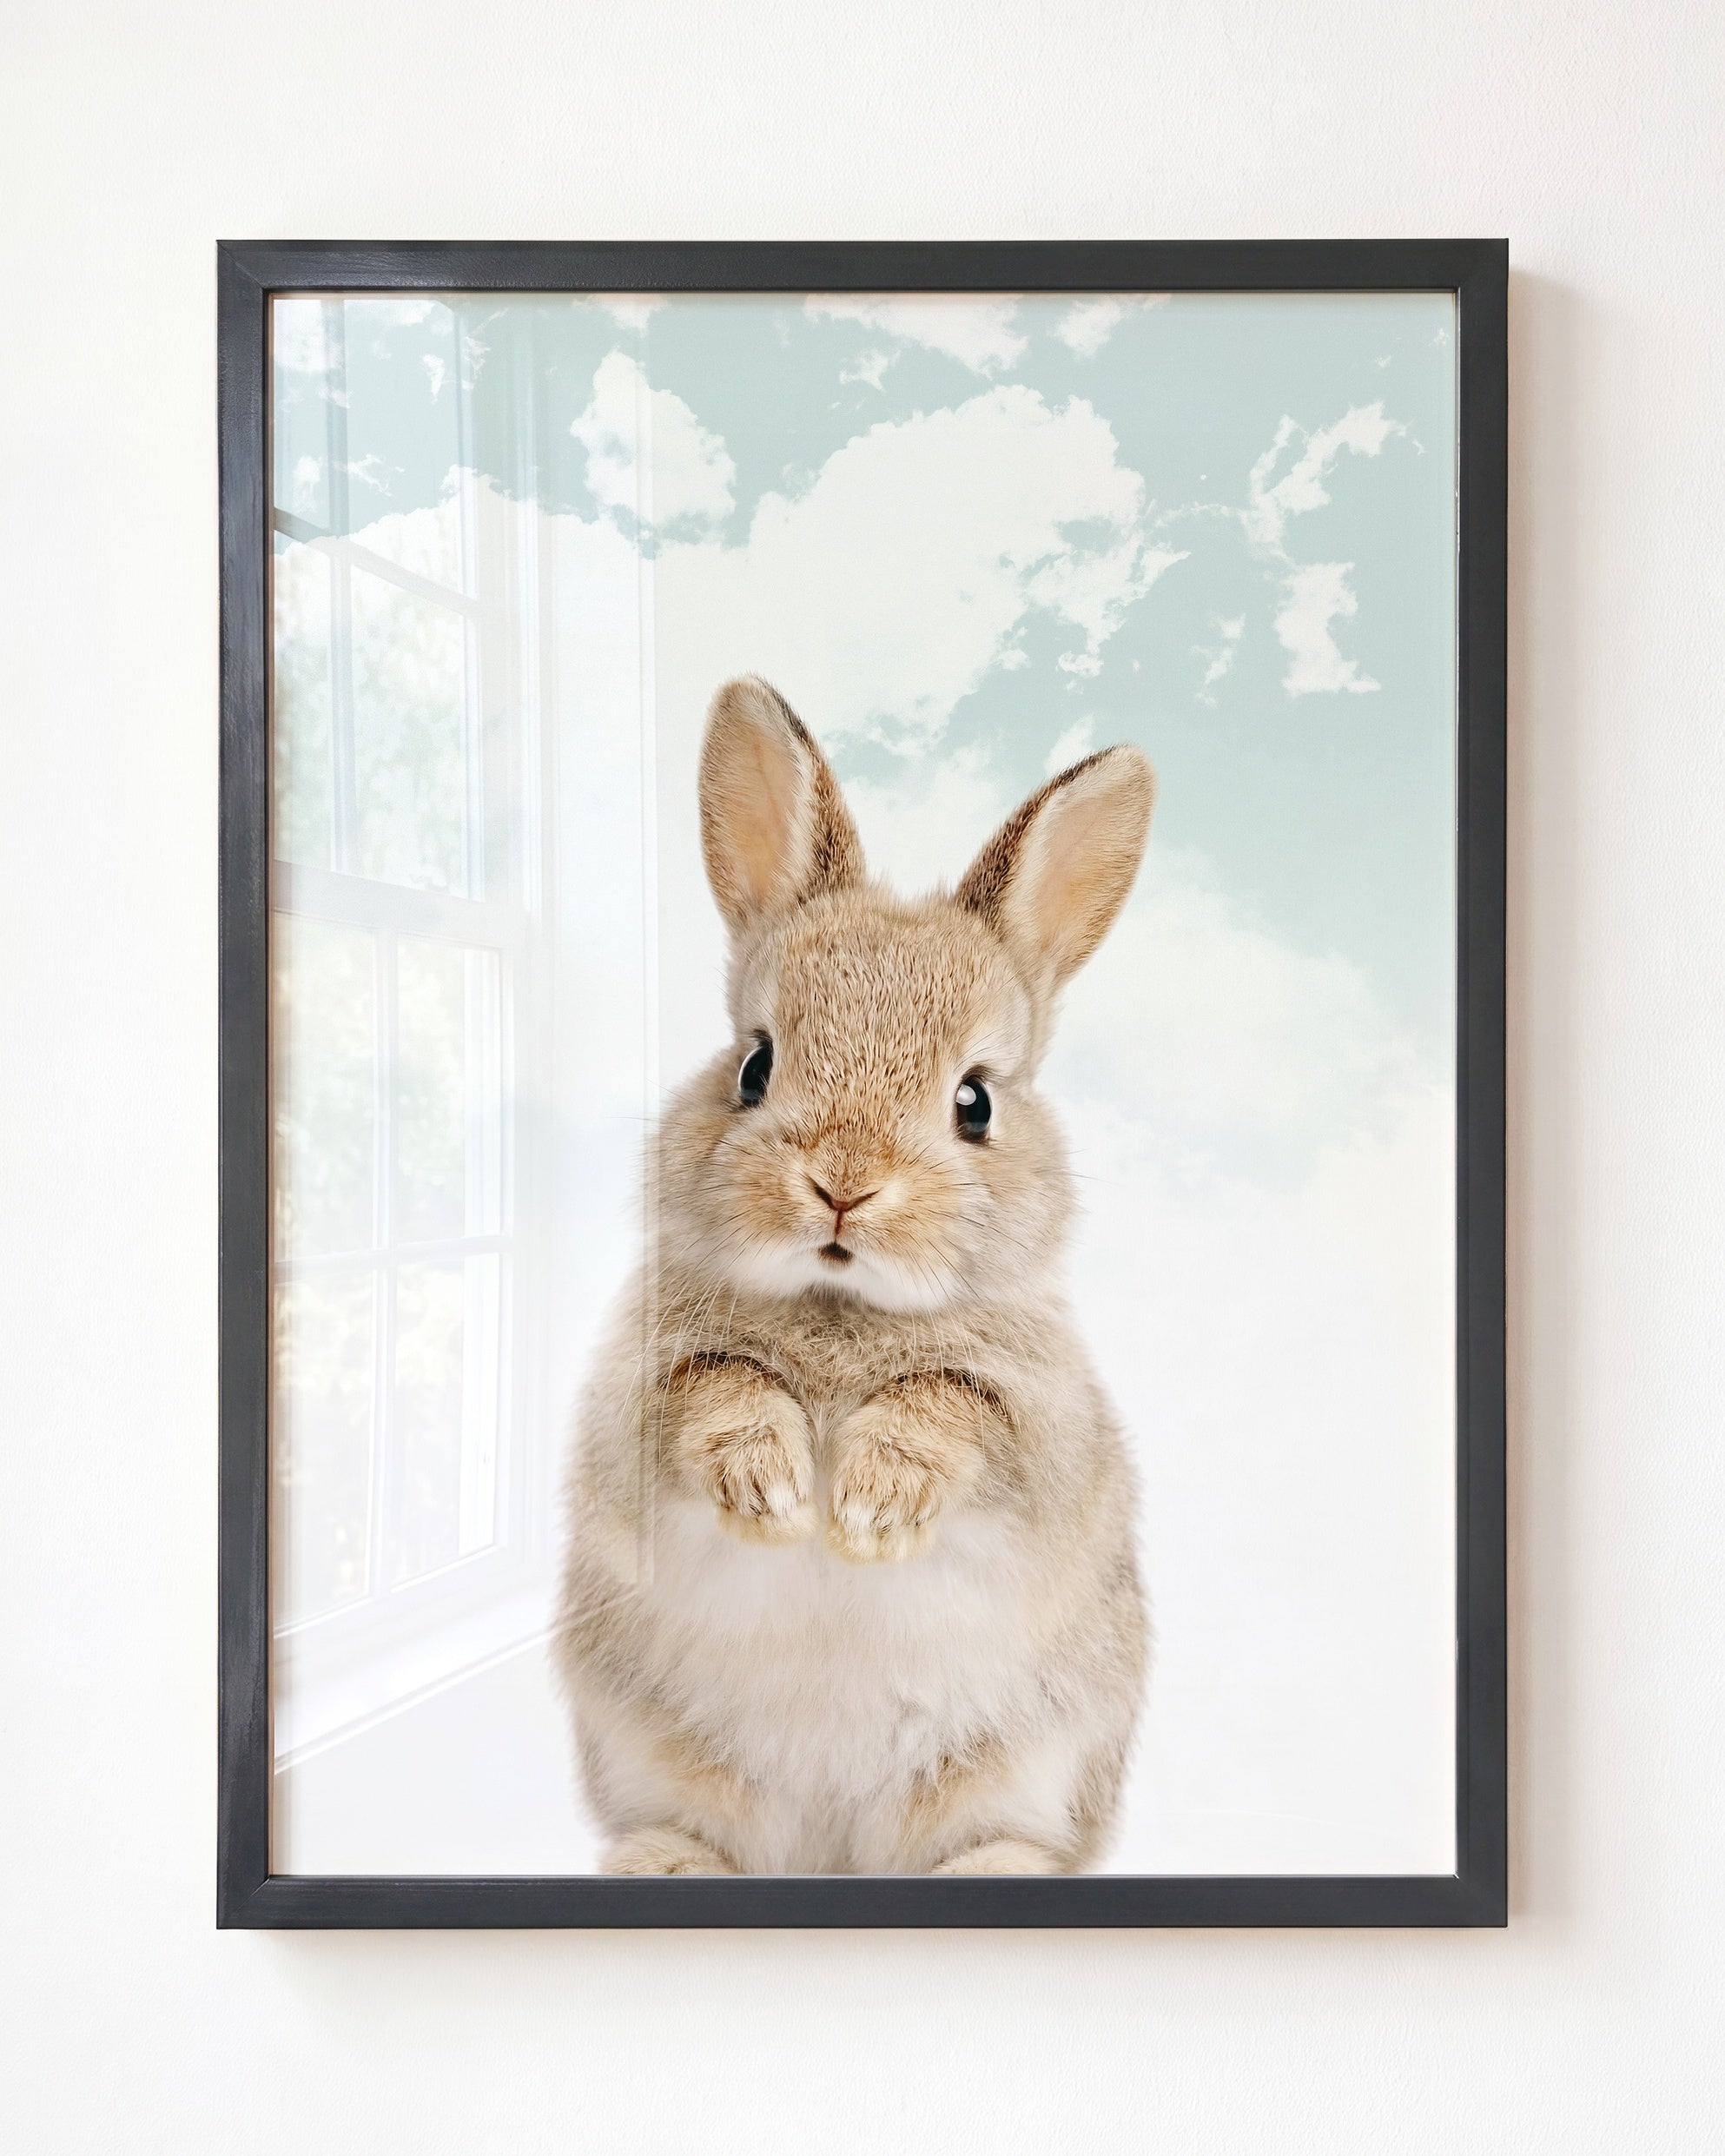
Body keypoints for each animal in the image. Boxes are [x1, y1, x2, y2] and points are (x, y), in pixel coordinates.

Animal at [553, 674, 1154, 1876]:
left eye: (975, 1100)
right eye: (754, 1064)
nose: (843, 1185)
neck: (842, 1307)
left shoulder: (1043, 1429)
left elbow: (951, 1408)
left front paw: (869, 1507)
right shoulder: (637, 1394)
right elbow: (716, 1387)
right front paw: (776, 1492)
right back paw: (666, 1865)